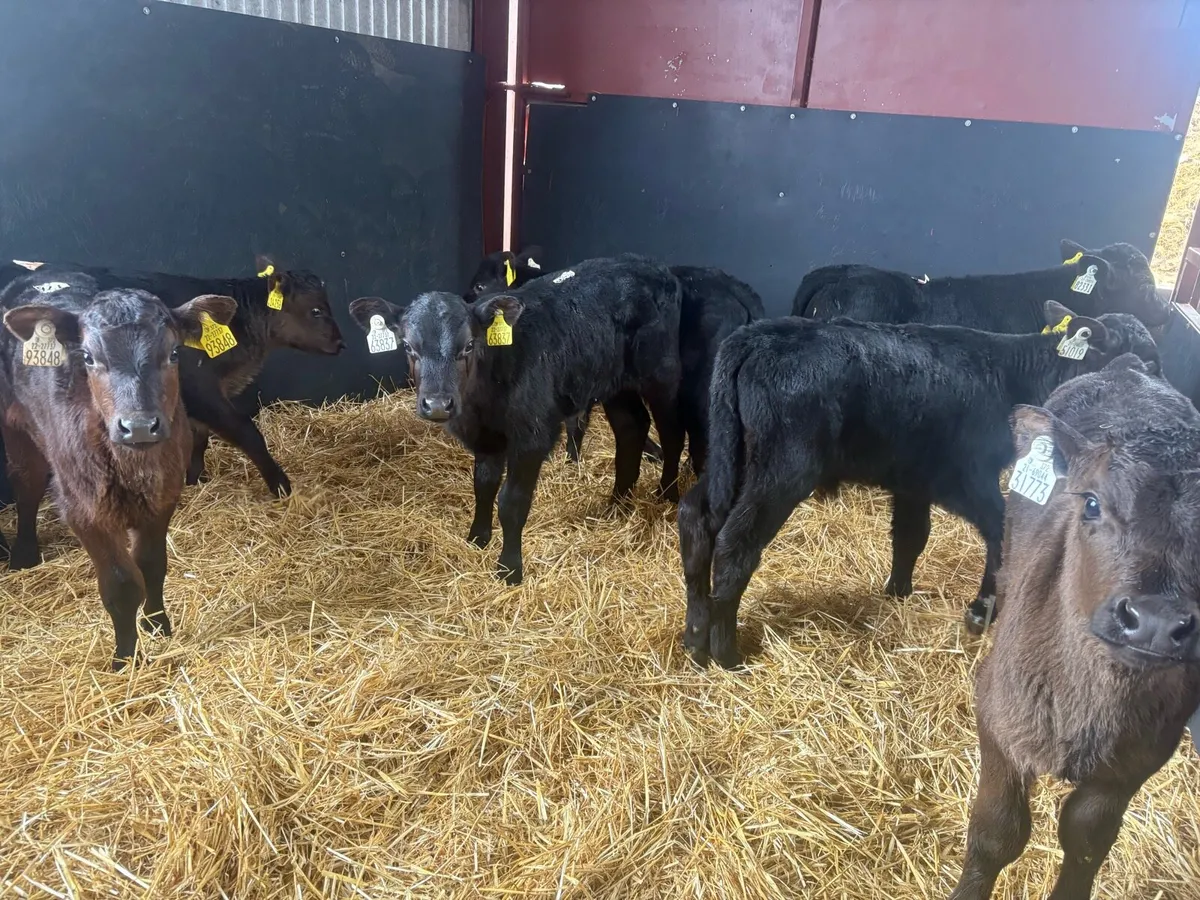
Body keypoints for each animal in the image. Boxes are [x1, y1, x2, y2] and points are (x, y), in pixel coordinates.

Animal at [0, 255, 344, 503]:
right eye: (316, 310)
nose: (341, 343)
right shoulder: (202, 390)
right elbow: (247, 433)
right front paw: (281, 485)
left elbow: (199, 438)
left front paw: (193, 480)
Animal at [0, 270, 236, 667]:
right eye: (88, 357)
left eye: (174, 353)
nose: (139, 426)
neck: (133, 469)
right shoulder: (84, 511)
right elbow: (122, 585)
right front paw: (126, 657)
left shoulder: (164, 495)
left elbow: (152, 566)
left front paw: (158, 626)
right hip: (15, 425)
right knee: (26, 484)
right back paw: (24, 553)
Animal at [351, 255, 684, 584]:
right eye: (408, 346)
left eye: (469, 345)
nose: (437, 405)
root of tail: (649, 264)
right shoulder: (486, 439)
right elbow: (483, 486)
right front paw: (478, 538)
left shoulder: (532, 438)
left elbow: (511, 502)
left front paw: (509, 568)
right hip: (615, 384)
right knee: (632, 427)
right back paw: (618, 504)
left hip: (663, 376)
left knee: (672, 433)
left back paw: (666, 494)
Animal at [677, 301, 1160, 669]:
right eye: (1146, 362)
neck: (1013, 376)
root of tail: (756, 336)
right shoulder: (965, 476)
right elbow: (1000, 531)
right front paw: (982, 612)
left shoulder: (912, 481)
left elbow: (911, 534)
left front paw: (898, 592)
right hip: (781, 471)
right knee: (735, 545)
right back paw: (726, 652)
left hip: (730, 459)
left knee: (696, 520)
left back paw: (696, 637)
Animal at [949, 355, 1200, 900]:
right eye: (1091, 503)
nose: (1154, 620)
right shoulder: (998, 718)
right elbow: (996, 832)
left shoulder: (1138, 760)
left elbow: (1088, 838)